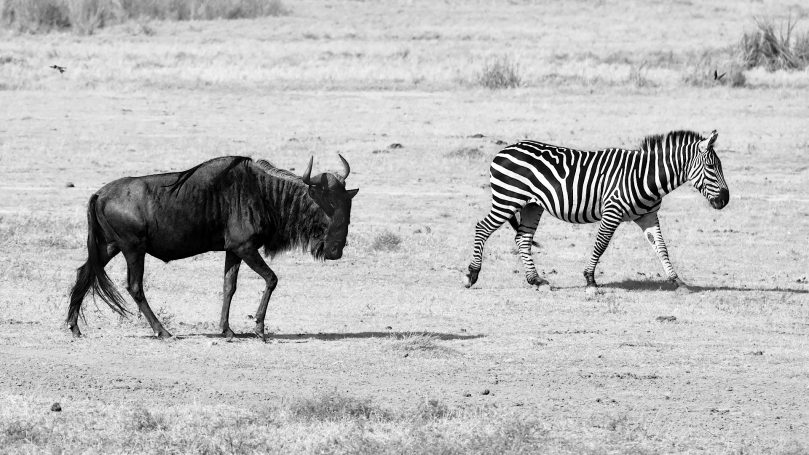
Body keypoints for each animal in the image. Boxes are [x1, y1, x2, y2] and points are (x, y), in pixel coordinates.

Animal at [463, 130, 729, 291]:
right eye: (711, 166)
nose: (725, 200)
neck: (645, 176)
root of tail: (503, 151)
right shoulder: (612, 210)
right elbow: (601, 244)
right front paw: (590, 279)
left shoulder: (647, 216)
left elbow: (661, 247)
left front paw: (677, 281)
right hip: (508, 198)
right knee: (482, 227)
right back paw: (472, 275)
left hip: (531, 205)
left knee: (523, 238)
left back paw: (535, 279)